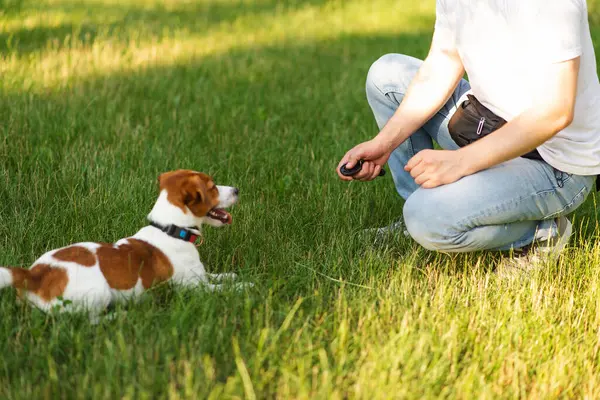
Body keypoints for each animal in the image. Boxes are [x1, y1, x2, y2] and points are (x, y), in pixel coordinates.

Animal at [0, 170, 248, 322]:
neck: (170, 228)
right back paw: (120, 316)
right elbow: (223, 289)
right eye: (213, 187)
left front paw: (232, 276)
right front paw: (247, 286)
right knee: (89, 320)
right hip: (99, 292)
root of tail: (34, 275)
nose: (237, 189)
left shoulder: (201, 276)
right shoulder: (195, 288)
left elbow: (219, 276)